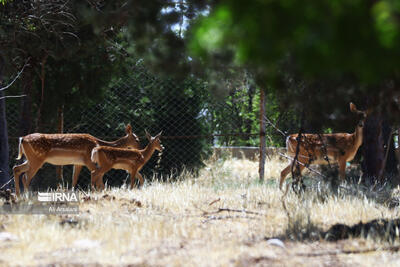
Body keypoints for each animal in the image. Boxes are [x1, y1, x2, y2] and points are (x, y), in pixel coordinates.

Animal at [12, 124, 141, 197]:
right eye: (137, 139)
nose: (139, 149)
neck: (98, 143)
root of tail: (22, 139)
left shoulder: (79, 162)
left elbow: (74, 179)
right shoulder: (89, 160)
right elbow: (99, 178)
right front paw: (103, 193)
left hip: (30, 159)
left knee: (16, 168)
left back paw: (18, 195)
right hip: (37, 158)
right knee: (26, 176)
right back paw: (26, 196)